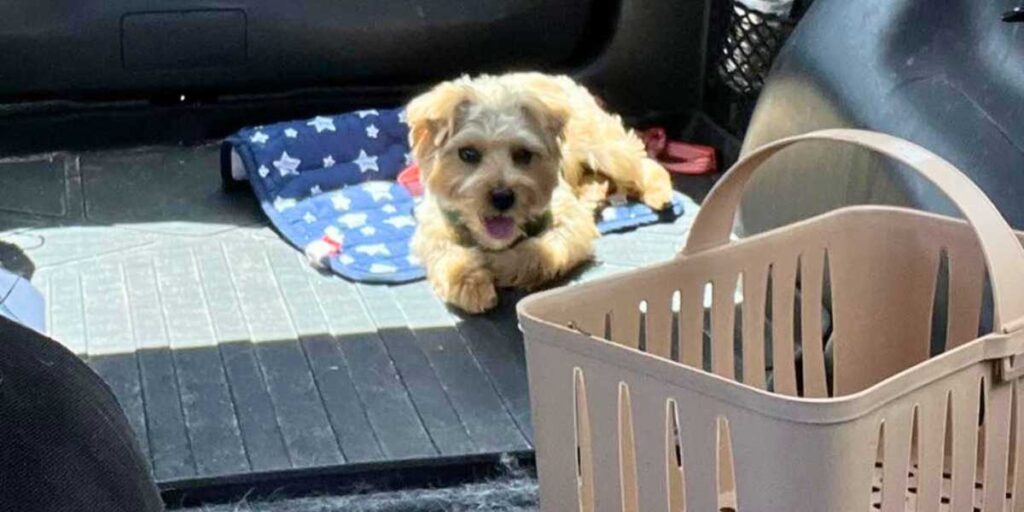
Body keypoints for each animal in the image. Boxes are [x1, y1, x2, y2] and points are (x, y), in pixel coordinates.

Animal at [405, 72, 598, 311]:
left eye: (523, 154)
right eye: (467, 153)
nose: (502, 197)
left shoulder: (571, 221)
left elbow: (540, 249)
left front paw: (499, 265)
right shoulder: (433, 223)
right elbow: (444, 249)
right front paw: (469, 281)